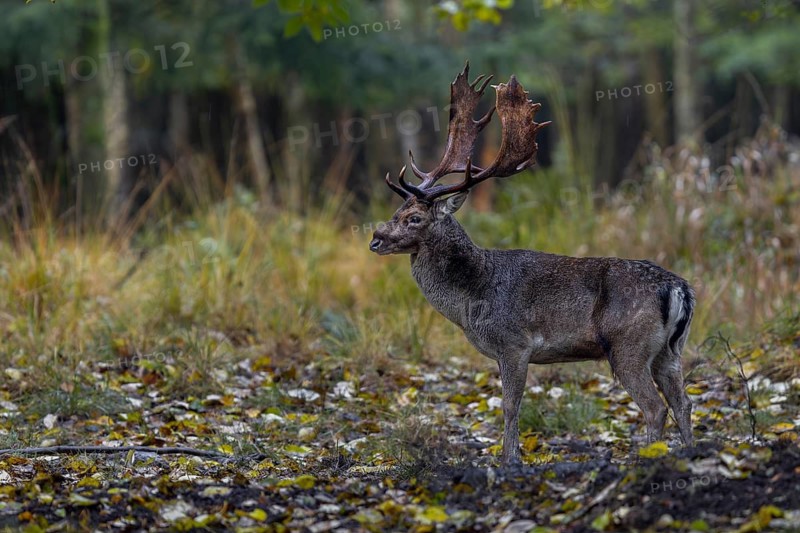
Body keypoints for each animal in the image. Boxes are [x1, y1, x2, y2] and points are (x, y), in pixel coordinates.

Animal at [369, 63, 695, 466]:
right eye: (397, 210)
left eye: (414, 218)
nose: (376, 238)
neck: (472, 298)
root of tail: (679, 288)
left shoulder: (514, 343)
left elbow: (510, 405)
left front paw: (509, 460)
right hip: (669, 349)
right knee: (683, 402)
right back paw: (689, 452)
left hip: (628, 345)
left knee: (655, 407)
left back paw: (647, 457)